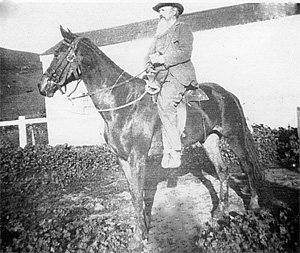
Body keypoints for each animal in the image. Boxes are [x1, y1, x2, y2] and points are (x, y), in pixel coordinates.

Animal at [38, 26, 262, 250]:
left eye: (57, 53)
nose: (42, 85)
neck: (122, 103)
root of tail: (226, 94)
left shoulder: (138, 158)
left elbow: (139, 195)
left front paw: (139, 238)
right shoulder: (122, 159)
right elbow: (134, 195)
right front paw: (143, 230)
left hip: (234, 138)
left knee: (247, 166)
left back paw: (254, 205)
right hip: (211, 140)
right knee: (222, 171)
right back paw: (220, 211)